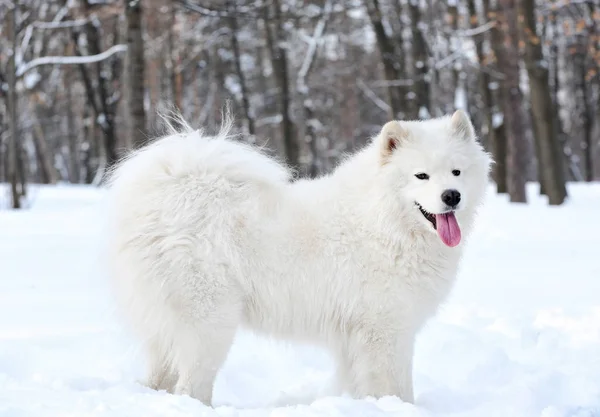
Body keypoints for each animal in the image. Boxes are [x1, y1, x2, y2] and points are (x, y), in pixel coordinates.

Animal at [105, 109, 492, 404]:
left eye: (456, 172)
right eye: (421, 175)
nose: (452, 196)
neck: (383, 222)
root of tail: (167, 193)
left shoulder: (357, 338)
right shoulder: (385, 331)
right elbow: (396, 389)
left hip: (170, 330)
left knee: (160, 382)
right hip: (209, 324)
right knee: (190, 388)